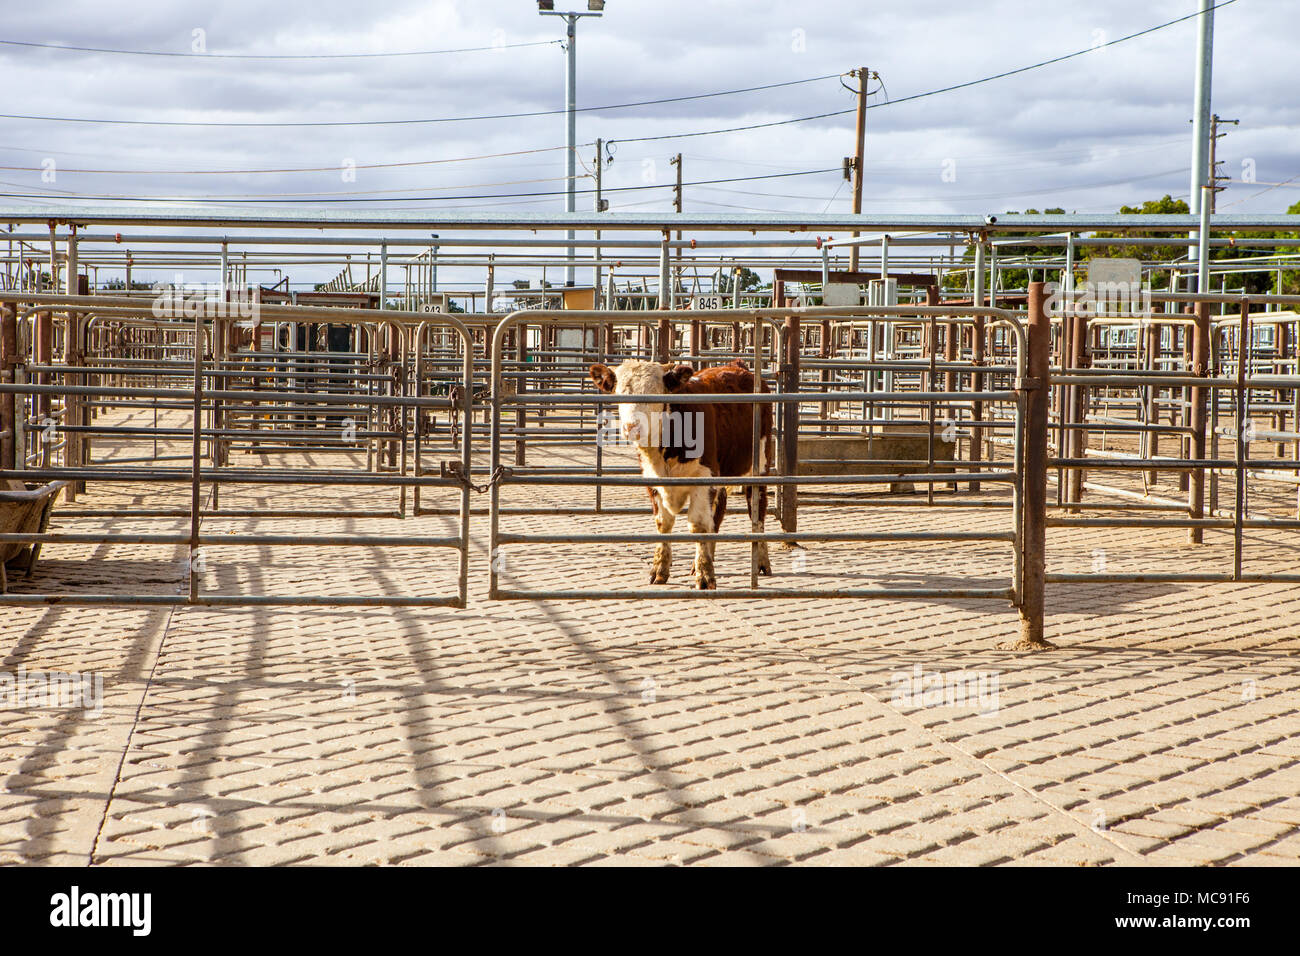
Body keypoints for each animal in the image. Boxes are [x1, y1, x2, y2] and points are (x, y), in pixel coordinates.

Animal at [590, 356, 769, 587]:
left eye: (653, 394)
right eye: (620, 394)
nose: (631, 427)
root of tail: (737, 365)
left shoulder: (704, 478)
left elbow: (699, 525)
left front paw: (705, 575)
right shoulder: (652, 480)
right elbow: (664, 524)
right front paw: (660, 569)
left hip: (760, 465)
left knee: (757, 509)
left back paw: (761, 562)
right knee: (718, 514)